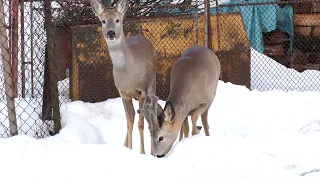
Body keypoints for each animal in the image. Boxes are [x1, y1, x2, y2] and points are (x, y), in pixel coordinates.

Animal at [89, 0, 158, 155]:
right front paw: (129, 149)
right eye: (103, 21)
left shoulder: (142, 90)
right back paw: (125, 145)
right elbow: (129, 123)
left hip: (152, 85)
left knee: (151, 114)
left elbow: (140, 124)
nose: (111, 33)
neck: (128, 75)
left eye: (117, 20)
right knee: (132, 116)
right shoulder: (122, 93)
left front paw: (142, 153)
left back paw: (153, 151)